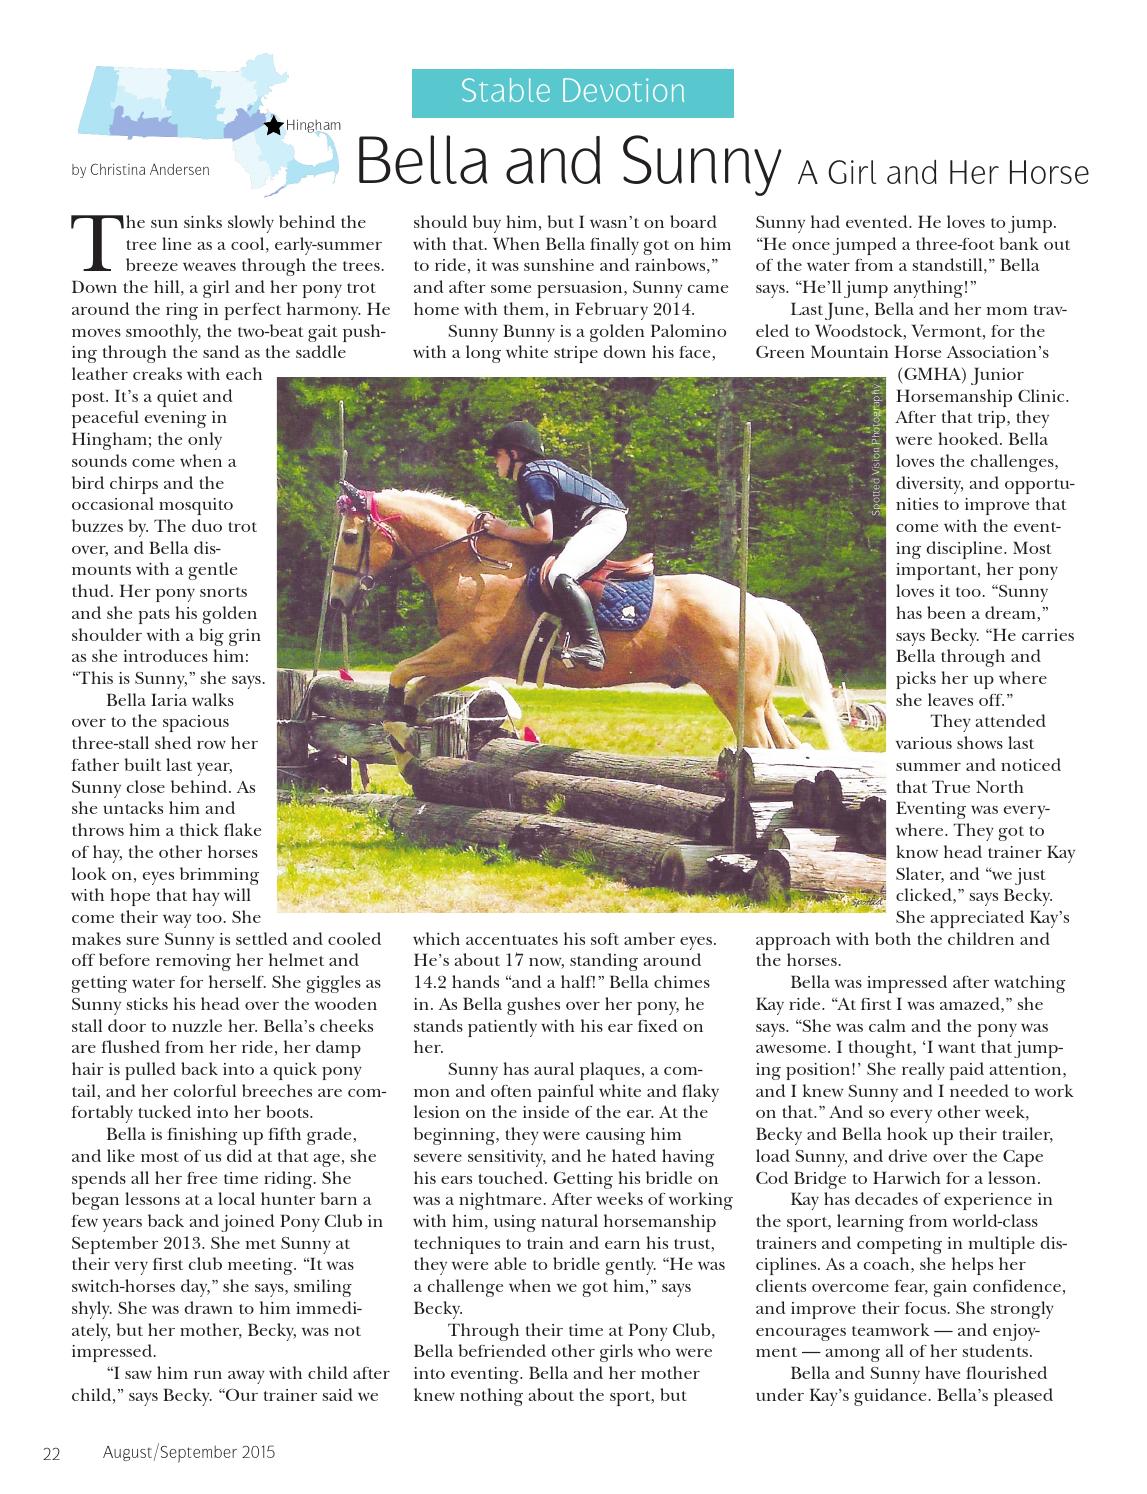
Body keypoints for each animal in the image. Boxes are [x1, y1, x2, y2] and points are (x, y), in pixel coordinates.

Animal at [326, 487, 848, 773]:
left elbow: (400, 673)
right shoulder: (468, 663)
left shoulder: (465, 651)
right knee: (787, 745)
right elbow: (411, 695)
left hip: (734, 696)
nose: (336, 602)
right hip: (755, 698)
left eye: (350, 537)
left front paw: (404, 745)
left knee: (761, 748)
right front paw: (405, 752)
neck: (472, 565)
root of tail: (753, 604)